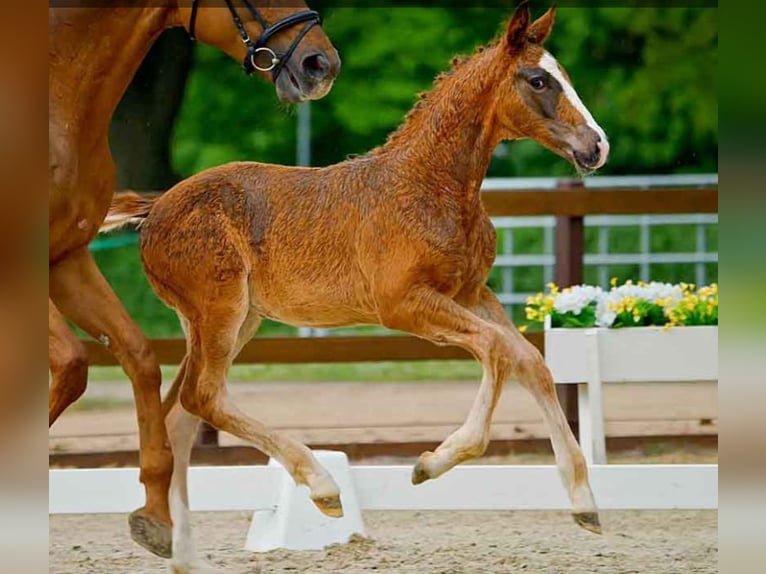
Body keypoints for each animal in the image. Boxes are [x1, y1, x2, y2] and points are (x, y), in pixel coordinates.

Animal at [103, 3, 608, 569]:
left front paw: (585, 503)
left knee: (180, 415)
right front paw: (430, 464)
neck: (431, 186)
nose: (596, 146)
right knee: (202, 397)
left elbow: (531, 362)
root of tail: (155, 210)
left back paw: (176, 548)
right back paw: (321, 486)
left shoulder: (471, 293)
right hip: (220, 310)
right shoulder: (404, 305)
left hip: (234, 319)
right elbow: (497, 350)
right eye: (539, 80)